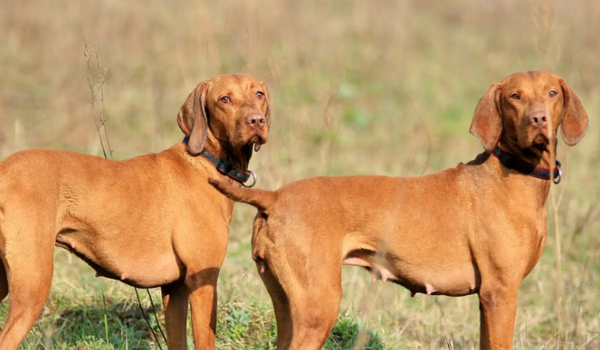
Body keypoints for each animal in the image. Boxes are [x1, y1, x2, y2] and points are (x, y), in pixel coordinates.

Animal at [0, 72, 272, 348]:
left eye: (259, 94)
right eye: (224, 99)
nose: (256, 120)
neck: (207, 162)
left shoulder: (174, 288)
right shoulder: (202, 280)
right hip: (33, 286)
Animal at [210, 72, 584, 350]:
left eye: (552, 92)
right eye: (515, 96)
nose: (539, 118)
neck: (514, 173)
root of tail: (274, 196)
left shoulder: (487, 301)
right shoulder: (500, 293)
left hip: (287, 304)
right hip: (319, 306)